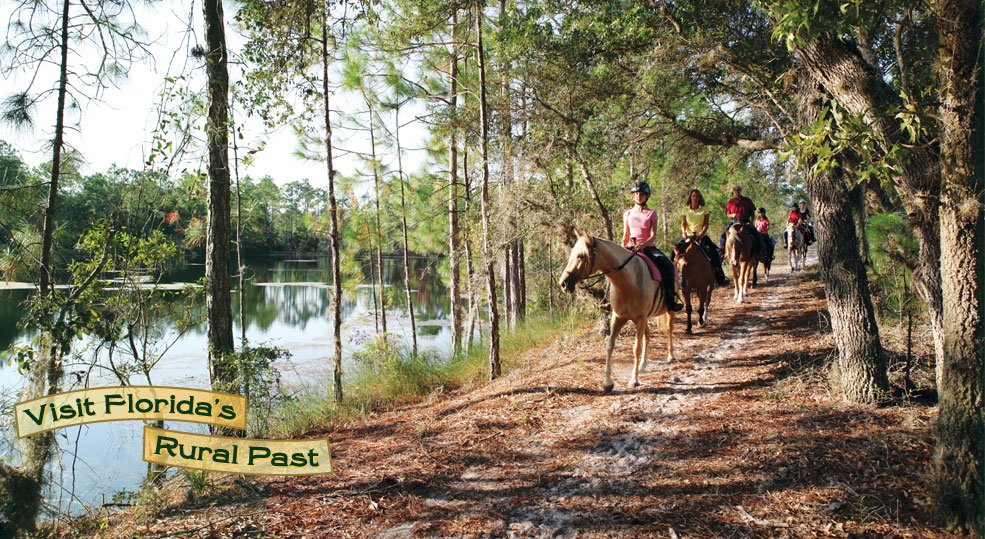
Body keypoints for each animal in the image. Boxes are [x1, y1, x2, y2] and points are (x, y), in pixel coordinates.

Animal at [556, 231, 672, 392]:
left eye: (580, 256)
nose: (563, 284)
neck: (628, 283)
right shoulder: (618, 318)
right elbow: (610, 345)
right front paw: (607, 382)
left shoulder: (640, 319)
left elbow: (636, 348)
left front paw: (634, 380)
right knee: (648, 336)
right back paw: (643, 365)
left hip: (666, 311)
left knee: (669, 329)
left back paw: (670, 356)